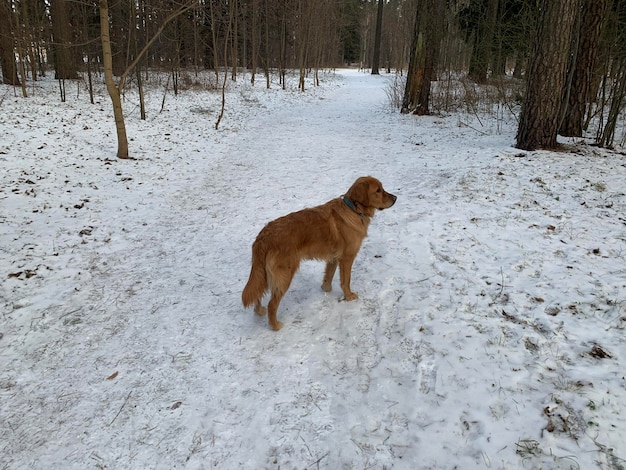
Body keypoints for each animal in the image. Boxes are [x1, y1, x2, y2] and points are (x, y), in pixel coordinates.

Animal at [243, 176, 394, 330]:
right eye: (378, 190)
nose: (395, 198)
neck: (353, 209)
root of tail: (263, 236)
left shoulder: (333, 258)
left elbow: (328, 276)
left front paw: (326, 289)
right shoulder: (347, 258)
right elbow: (346, 281)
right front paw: (349, 296)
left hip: (263, 274)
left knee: (258, 293)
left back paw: (259, 311)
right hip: (284, 275)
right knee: (272, 304)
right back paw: (275, 326)